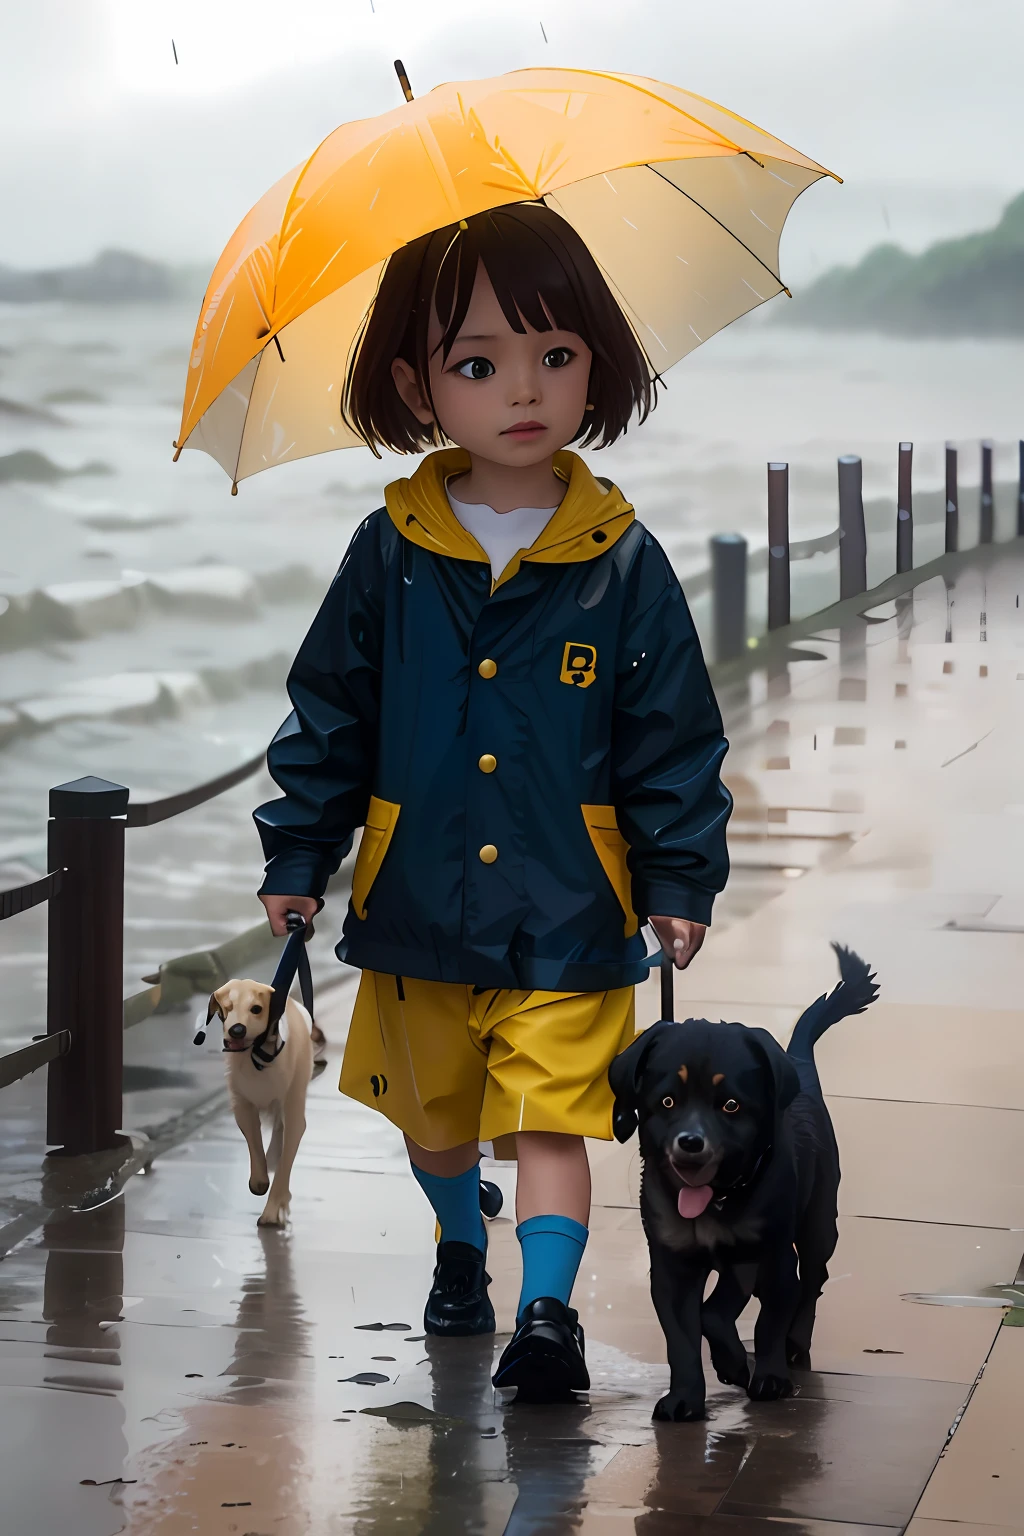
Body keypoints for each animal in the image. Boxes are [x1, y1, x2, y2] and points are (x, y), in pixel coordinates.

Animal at [205, 983, 314, 1222]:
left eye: (256, 1008)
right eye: (227, 1007)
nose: (237, 1030)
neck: (260, 1056)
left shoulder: (293, 1112)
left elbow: (285, 1164)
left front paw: (273, 1210)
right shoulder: (242, 1106)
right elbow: (254, 1144)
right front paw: (259, 1179)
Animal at [607, 940, 884, 1419]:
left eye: (731, 1105)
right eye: (666, 1101)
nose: (690, 1144)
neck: (718, 1201)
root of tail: (797, 1065)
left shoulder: (764, 1255)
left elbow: (754, 1315)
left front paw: (762, 1373)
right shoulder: (672, 1266)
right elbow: (685, 1332)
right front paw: (687, 1395)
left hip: (817, 1226)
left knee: (810, 1283)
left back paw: (794, 1343)